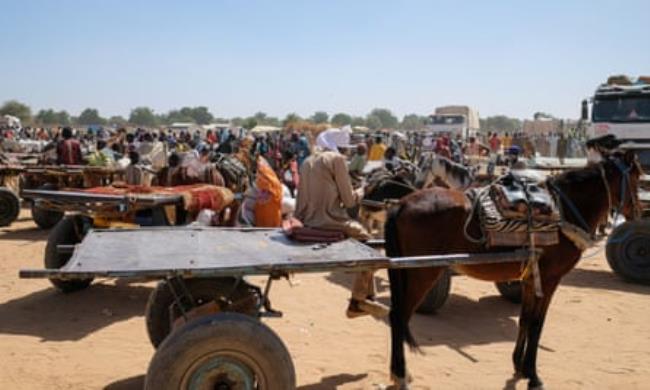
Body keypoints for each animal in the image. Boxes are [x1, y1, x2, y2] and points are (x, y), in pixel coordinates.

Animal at [382, 151, 640, 388]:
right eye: (637, 177)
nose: (638, 213)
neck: (564, 212)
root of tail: (401, 204)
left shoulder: (529, 278)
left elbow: (525, 319)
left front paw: (519, 365)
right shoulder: (549, 280)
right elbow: (537, 324)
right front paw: (533, 375)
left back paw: (399, 372)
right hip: (422, 272)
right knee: (399, 316)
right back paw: (400, 374)